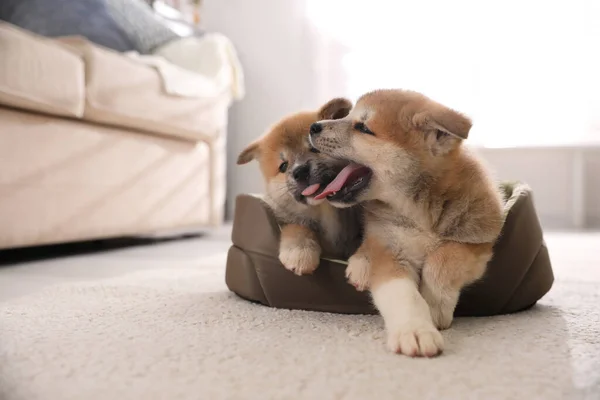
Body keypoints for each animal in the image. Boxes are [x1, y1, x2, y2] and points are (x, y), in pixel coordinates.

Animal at [237, 98, 364, 276]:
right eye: (283, 166)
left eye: (315, 148)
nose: (300, 171)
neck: (325, 210)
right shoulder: (286, 218)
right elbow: (298, 227)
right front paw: (300, 253)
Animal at [308, 90, 504, 356]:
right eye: (348, 116)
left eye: (364, 127)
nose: (313, 126)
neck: (417, 212)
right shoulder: (390, 252)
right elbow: (403, 295)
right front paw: (415, 330)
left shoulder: (478, 241)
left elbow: (442, 260)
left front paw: (435, 307)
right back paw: (360, 264)